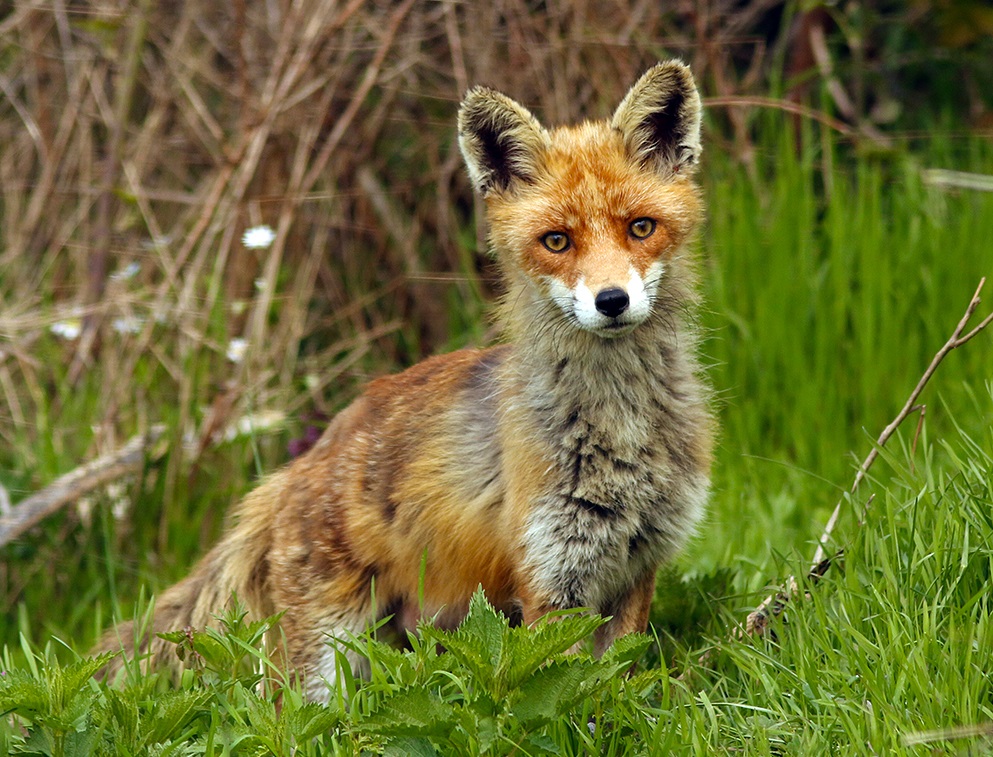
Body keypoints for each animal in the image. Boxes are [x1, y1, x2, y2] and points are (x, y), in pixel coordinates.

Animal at [101, 62, 712, 700]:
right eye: (557, 241)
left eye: (640, 227)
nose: (611, 301)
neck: (620, 427)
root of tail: (291, 472)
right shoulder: (549, 576)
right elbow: (568, 692)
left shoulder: (637, 566)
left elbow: (619, 683)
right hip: (326, 663)